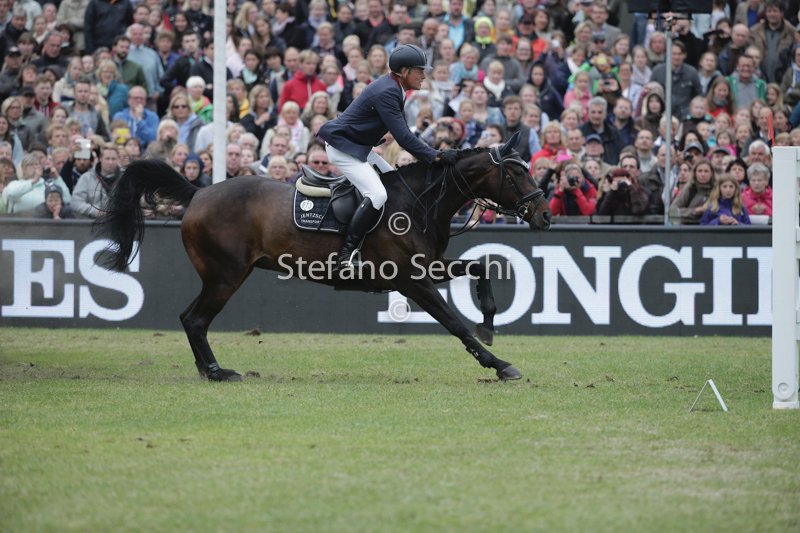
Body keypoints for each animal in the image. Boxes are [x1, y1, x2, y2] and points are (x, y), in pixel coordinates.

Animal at [97, 133, 551, 382]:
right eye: (516, 172)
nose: (544, 215)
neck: (420, 201)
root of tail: (199, 192)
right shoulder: (412, 279)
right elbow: (455, 323)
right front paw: (498, 363)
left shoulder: (429, 267)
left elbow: (481, 267)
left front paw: (489, 323)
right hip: (226, 276)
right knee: (194, 319)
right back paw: (216, 372)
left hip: (223, 276)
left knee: (192, 319)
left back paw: (209, 370)